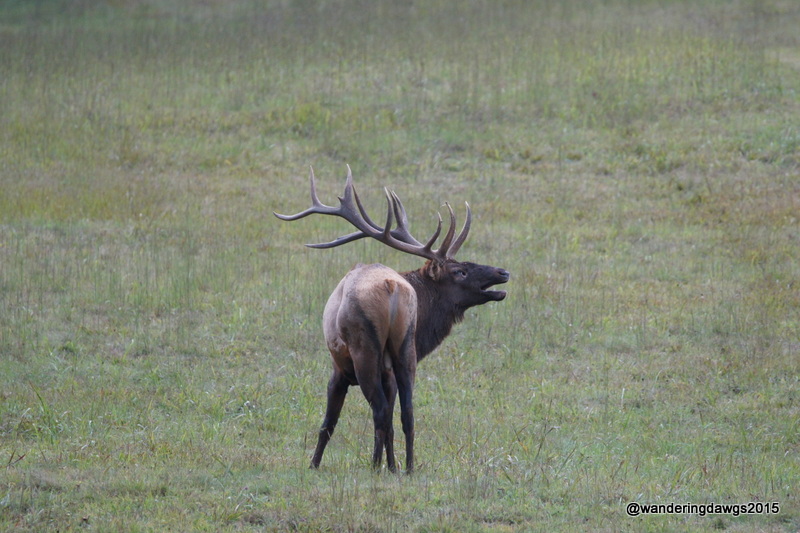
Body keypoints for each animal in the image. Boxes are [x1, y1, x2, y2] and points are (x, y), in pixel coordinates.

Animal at [274, 165, 509, 473]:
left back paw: (377, 468)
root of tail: (391, 285)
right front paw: (391, 463)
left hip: (364, 350)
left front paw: (313, 465)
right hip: (404, 349)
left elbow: (329, 423)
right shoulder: (391, 369)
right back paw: (406, 468)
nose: (503, 272)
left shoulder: (339, 369)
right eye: (461, 271)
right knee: (406, 412)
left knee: (380, 411)